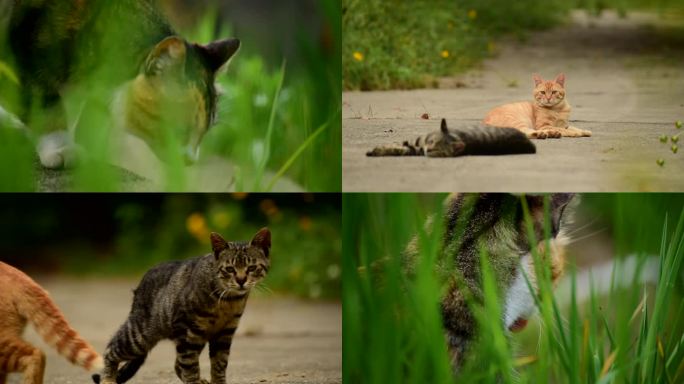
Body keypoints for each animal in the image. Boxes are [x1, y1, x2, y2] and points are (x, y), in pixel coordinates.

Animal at [8, 0, 240, 168]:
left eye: (204, 133)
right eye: (179, 129)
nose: (191, 160)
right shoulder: (31, 50)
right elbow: (48, 106)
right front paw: (60, 148)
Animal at [91, 228, 272, 384]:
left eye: (251, 268)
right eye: (229, 269)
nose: (241, 280)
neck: (228, 301)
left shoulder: (225, 333)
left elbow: (219, 364)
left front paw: (216, 381)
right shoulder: (186, 328)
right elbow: (190, 364)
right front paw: (193, 381)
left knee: (177, 363)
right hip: (139, 336)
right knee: (111, 349)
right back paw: (108, 379)